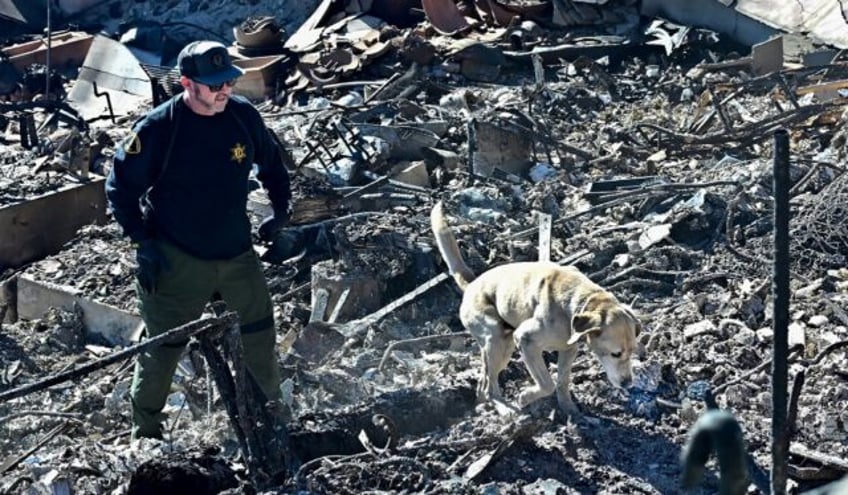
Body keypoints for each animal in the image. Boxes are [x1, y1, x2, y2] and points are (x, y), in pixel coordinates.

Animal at [430, 202, 644, 418]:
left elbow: (562, 382)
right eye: (615, 354)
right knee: (490, 387)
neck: (578, 302)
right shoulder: (526, 340)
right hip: (498, 340)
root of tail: (471, 285)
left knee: (484, 382)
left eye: (633, 351)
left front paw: (569, 408)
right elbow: (547, 383)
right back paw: (504, 408)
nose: (628, 384)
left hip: (497, 346)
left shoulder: (569, 349)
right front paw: (525, 397)